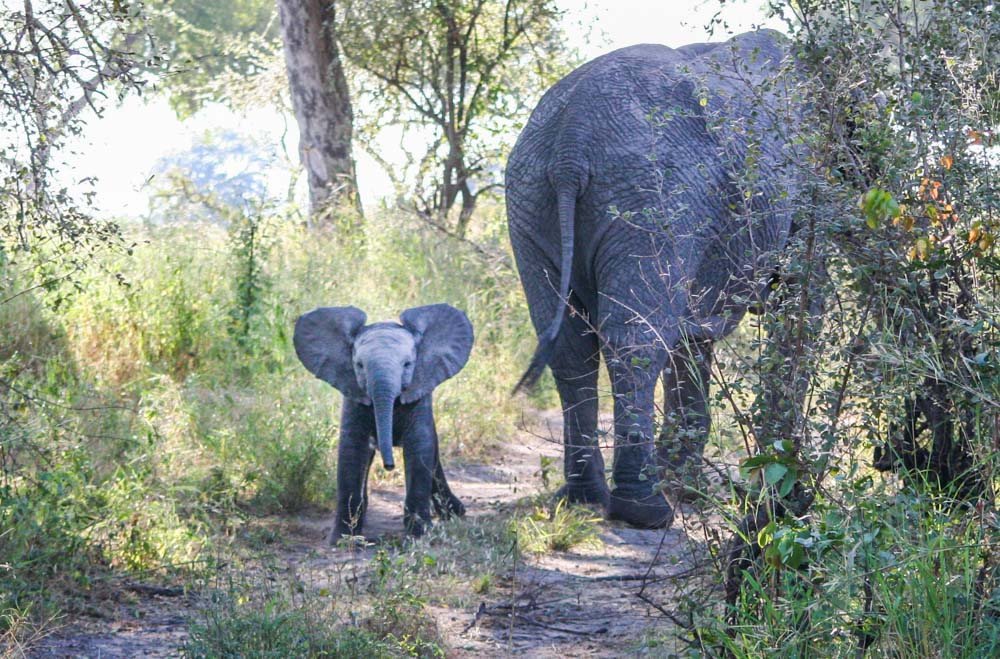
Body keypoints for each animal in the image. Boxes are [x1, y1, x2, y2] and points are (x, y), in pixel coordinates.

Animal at [292, 304, 472, 540]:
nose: (389, 466)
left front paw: (419, 535)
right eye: (359, 365)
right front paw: (343, 539)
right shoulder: (353, 394)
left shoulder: (419, 392)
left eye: (407, 364)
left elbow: (419, 445)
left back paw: (455, 513)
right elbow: (352, 448)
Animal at [504, 29, 800, 532]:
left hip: (532, 200)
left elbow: (692, 336)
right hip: (648, 197)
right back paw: (645, 511)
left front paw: (688, 486)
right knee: (637, 339)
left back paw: (585, 497)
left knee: (570, 345)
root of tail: (569, 144)